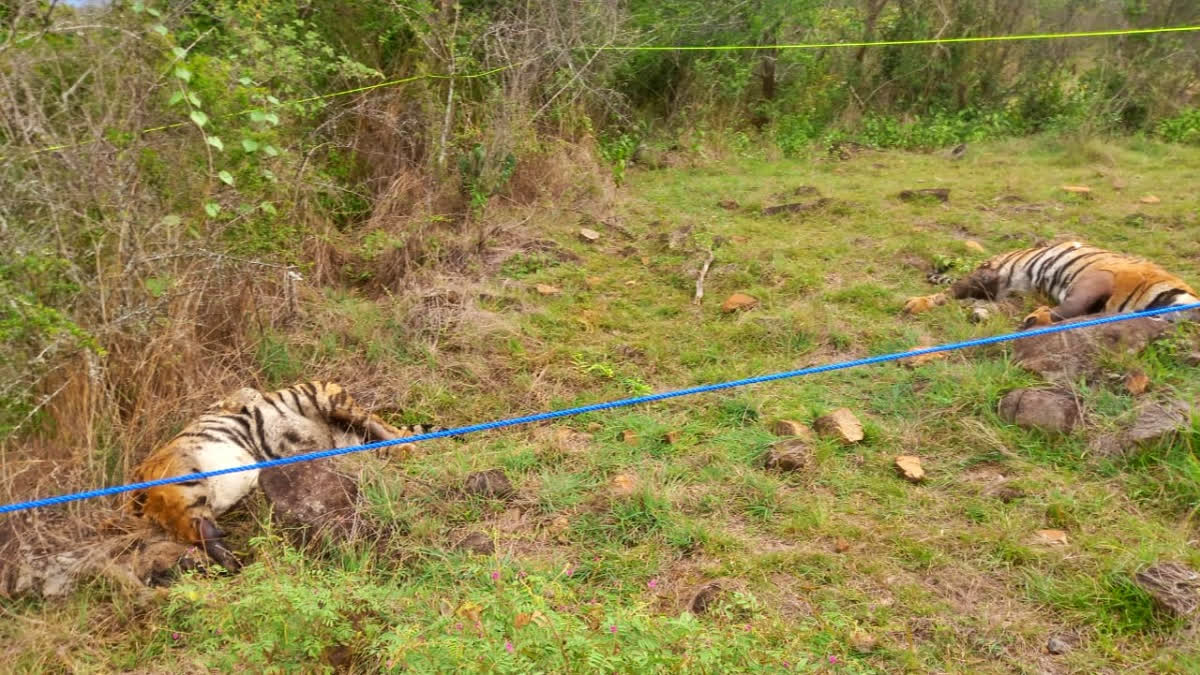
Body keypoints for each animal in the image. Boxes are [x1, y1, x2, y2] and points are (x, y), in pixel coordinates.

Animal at [902, 241, 1200, 329]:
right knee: (949, 292)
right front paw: (1038, 319)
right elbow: (1071, 307)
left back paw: (979, 314)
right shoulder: (1098, 278)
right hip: (988, 275)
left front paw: (1037, 318)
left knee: (989, 306)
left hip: (1013, 296)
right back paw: (917, 304)